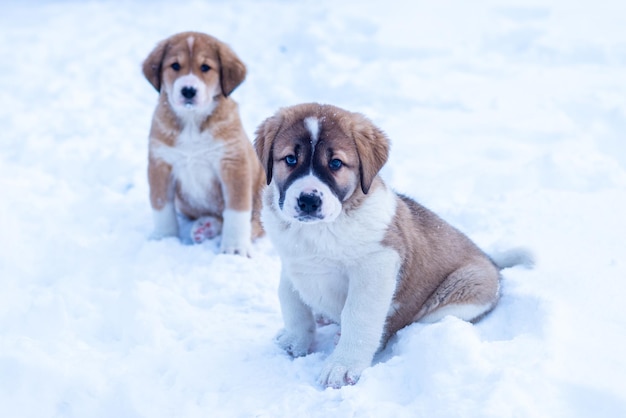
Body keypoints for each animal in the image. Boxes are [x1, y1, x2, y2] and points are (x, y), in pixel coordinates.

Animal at [143, 31, 264, 255]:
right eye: (175, 65)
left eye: (205, 67)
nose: (188, 90)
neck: (192, 122)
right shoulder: (160, 163)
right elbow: (161, 205)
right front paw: (164, 237)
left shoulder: (233, 164)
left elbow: (236, 210)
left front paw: (234, 248)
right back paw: (206, 226)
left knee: (258, 224)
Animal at [254, 102, 532, 388]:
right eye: (290, 159)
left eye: (336, 163)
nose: (309, 200)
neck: (320, 230)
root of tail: (490, 261)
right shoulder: (292, 263)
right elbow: (291, 302)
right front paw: (295, 340)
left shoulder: (377, 264)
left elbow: (358, 316)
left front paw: (342, 365)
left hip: (462, 293)